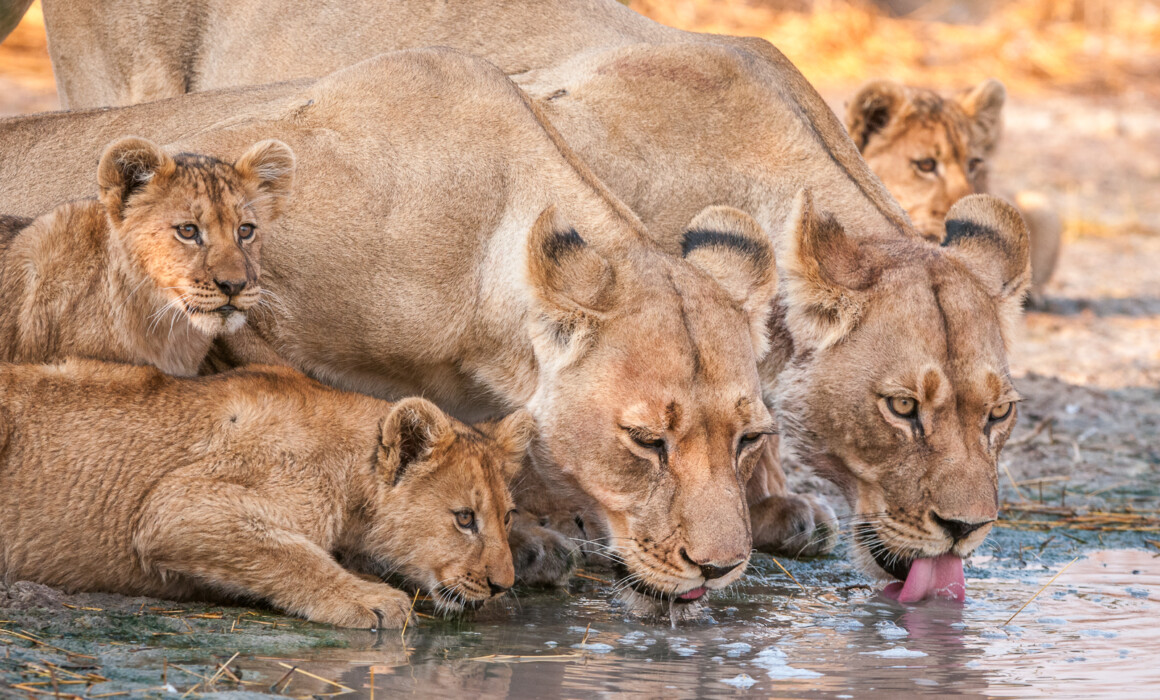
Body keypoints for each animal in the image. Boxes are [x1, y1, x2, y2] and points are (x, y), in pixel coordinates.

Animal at [0, 359, 533, 628]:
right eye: (464, 518)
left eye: (507, 517)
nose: (503, 585)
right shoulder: (173, 505)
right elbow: (293, 554)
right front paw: (370, 599)